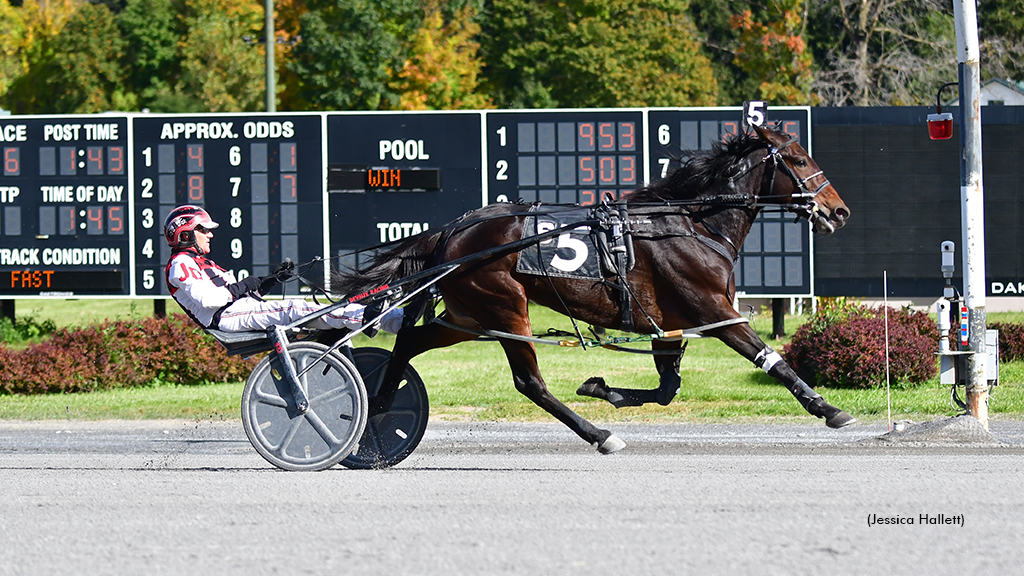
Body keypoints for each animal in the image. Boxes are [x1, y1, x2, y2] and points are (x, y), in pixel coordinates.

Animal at [333, 126, 856, 453]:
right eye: (798, 159)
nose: (839, 210)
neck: (692, 224)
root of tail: (451, 231)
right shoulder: (713, 310)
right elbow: (772, 361)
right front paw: (829, 408)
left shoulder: (669, 325)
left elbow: (667, 389)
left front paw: (601, 387)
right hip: (504, 307)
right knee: (530, 382)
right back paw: (599, 435)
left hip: (468, 316)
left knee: (410, 341)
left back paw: (380, 404)